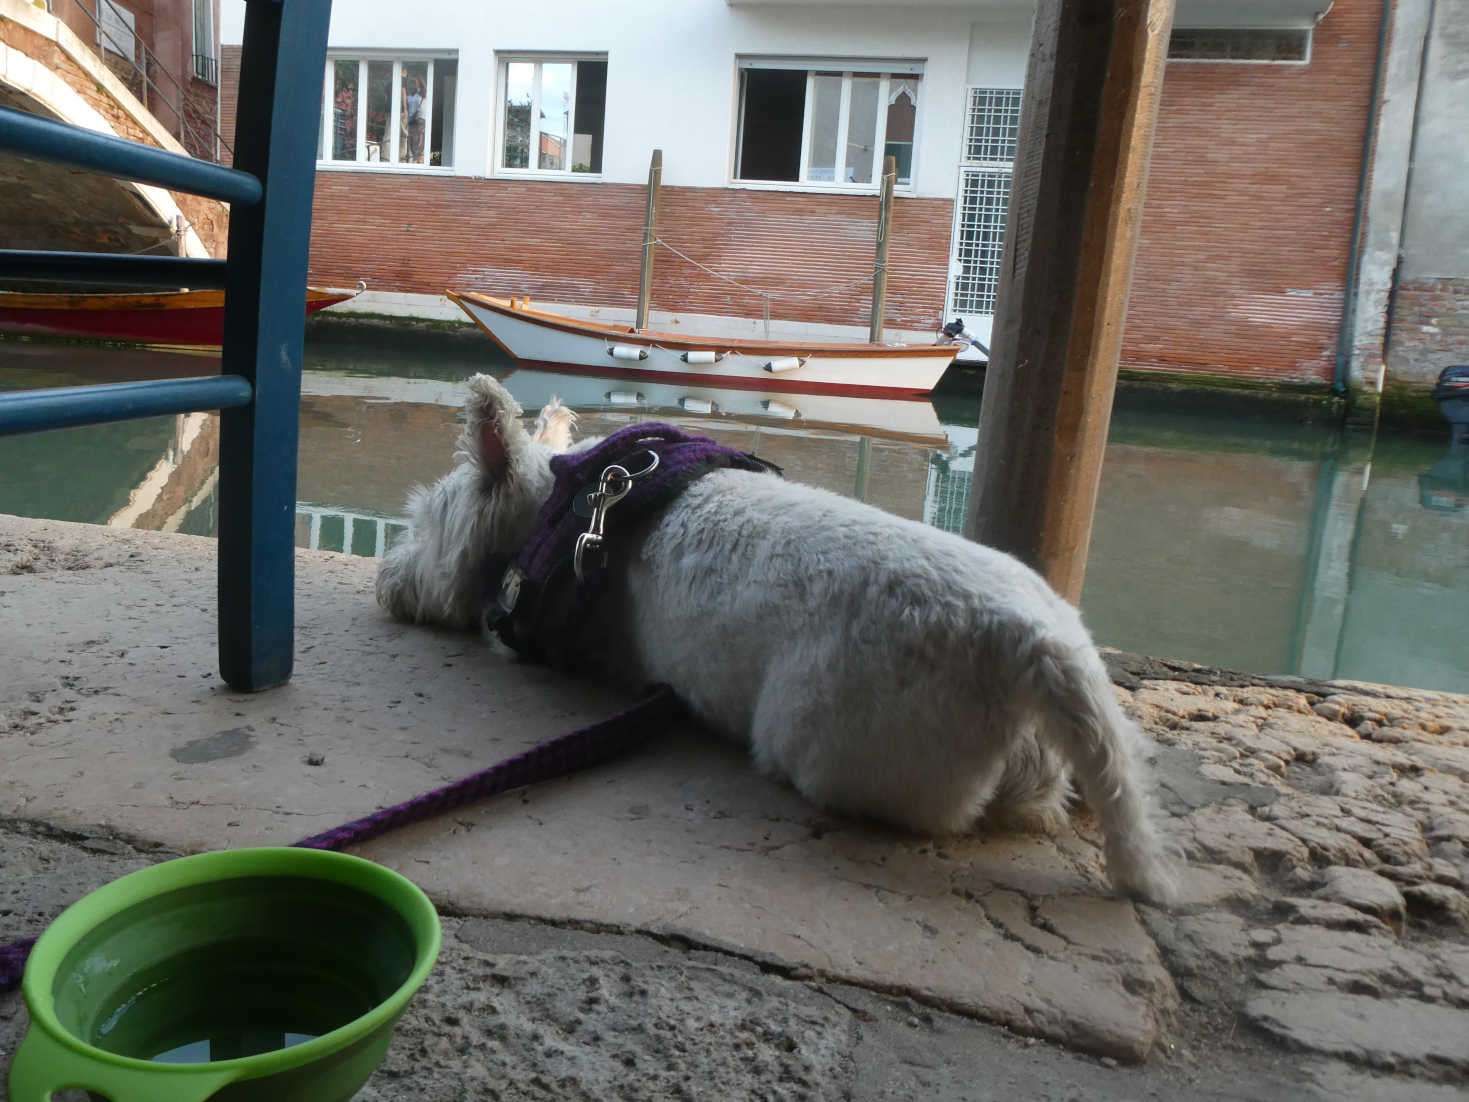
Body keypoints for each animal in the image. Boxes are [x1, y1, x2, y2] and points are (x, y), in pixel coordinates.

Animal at [381, 376, 1181, 899]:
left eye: (419, 520)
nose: (386, 578)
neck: (569, 512)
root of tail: (1036, 646)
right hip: (1076, 730)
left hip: (832, 738)